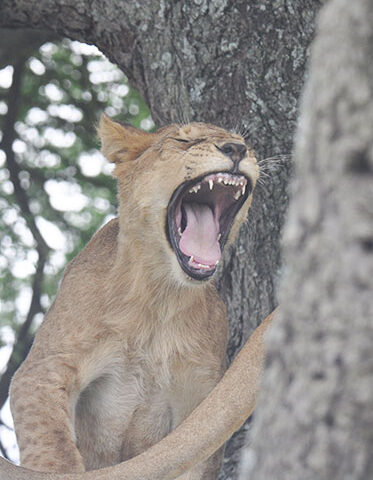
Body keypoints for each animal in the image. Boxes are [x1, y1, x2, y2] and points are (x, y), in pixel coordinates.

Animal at [9, 118, 258, 478]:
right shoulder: (46, 367)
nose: (237, 150)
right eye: (183, 141)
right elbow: (50, 446)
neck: (160, 299)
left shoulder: (201, 399)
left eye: (245, 144)